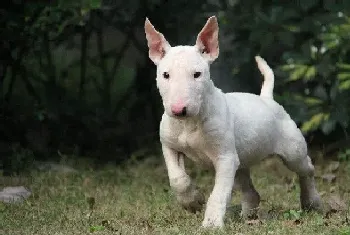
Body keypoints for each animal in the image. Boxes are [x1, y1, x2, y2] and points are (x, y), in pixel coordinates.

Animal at [144, 16, 322, 228]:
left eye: (197, 74)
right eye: (165, 75)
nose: (179, 110)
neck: (189, 123)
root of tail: (266, 99)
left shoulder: (225, 158)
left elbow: (219, 193)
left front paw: (211, 223)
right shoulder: (169, 146)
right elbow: (177, 178)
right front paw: (192, 201)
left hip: (292, 151)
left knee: (307, 169)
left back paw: (311, 201)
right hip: (241, 163)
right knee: (251, 191)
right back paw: (248, 216)